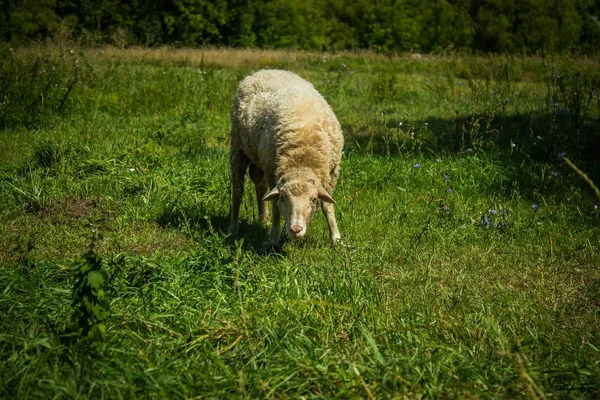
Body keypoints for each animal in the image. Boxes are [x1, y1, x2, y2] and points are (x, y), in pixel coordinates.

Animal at [227, 69, 344, 247]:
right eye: (284, 198)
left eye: (313, 199)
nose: (295, 229)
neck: (301, 158)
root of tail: (263, 71)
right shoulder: (273, 173)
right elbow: (276, 207)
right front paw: (274, 238)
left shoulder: (331, 174)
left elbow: (327, 205)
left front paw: (336, 238)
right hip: (238, 148)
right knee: (238, 190)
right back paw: (233, 228)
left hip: (259, 157)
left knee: (259, 183)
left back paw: (263, 220)